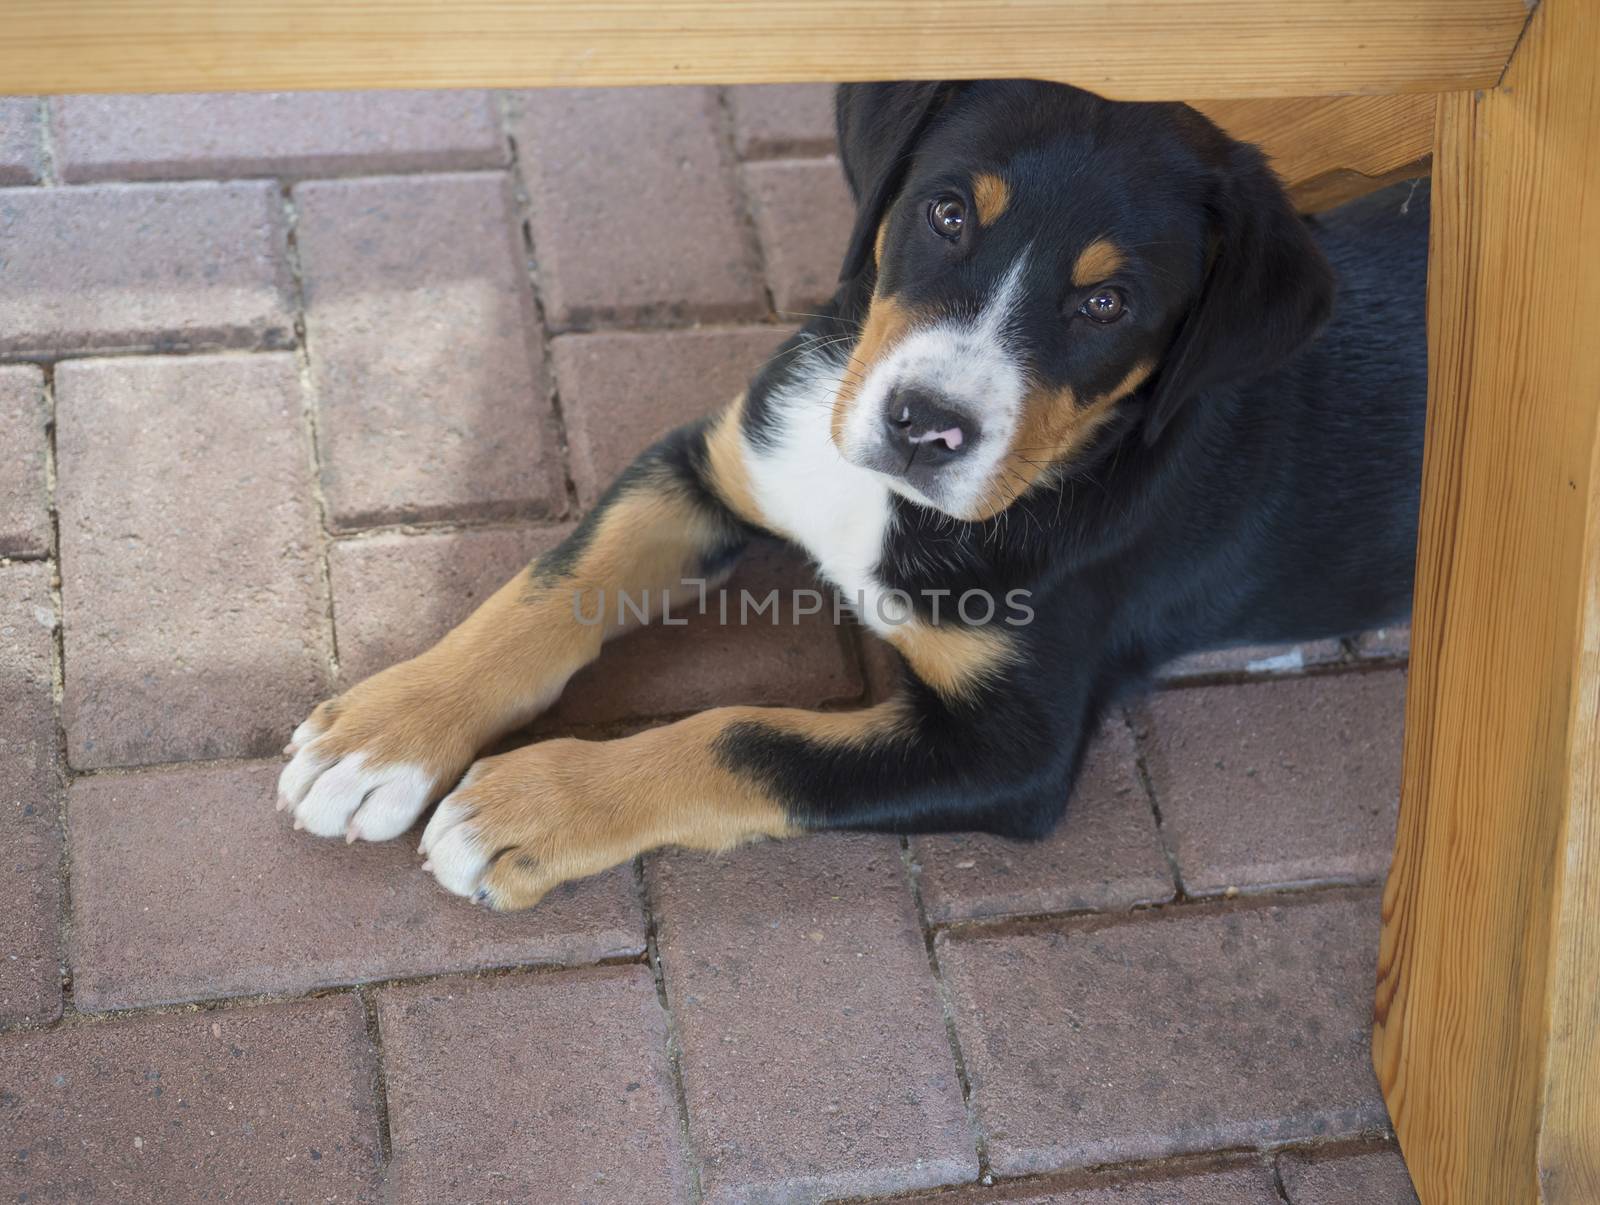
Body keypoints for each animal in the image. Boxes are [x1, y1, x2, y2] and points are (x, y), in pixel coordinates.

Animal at [272, 80, 1427, 908]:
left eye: (1107, 302)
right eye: (948, 213)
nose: (925, 422)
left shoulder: (1010, 749)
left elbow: (746, 736)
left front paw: (532, 802)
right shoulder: (716, 460)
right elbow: (553, 584)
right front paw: (386, 734)